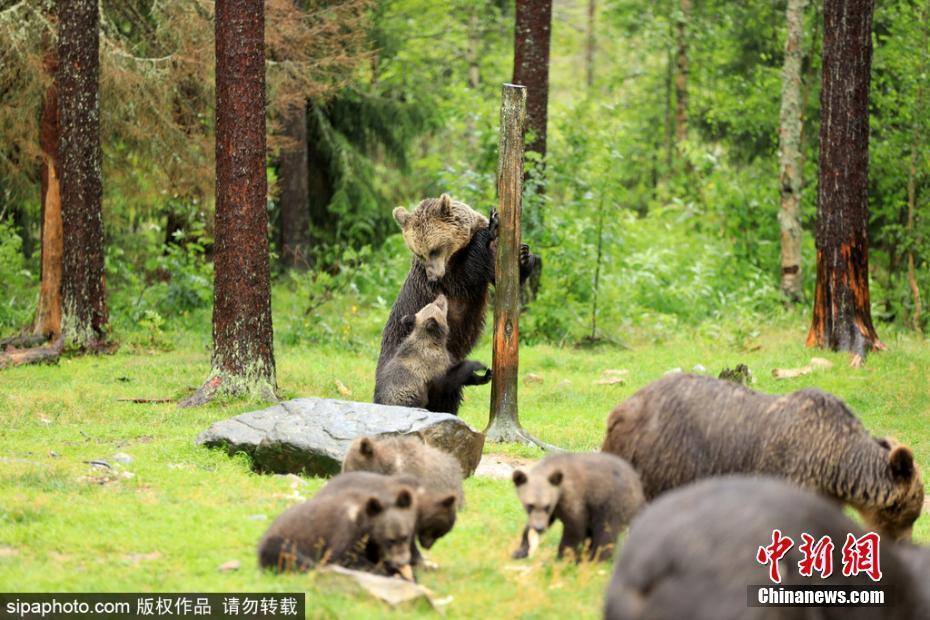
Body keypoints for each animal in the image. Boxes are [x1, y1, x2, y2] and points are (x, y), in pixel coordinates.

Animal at [254, 478, 414, 580]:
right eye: (390, 540)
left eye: (405, 536)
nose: (402, 561)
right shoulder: (346, 531)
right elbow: (343, 557)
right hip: (281, 541)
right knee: (288, 554)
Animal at [374, 194, 536, 416]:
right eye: (420, 252)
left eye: (433, 249)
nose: (433, 276)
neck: (458, 248)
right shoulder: (451, 279)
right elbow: (468, 272)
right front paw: (492, 225)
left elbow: (500, 275)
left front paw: (524, 256)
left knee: (449, 395)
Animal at [508, 450, 644, 560]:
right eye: (530, 505)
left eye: (547, 506)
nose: (539, 528)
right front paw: (520, 551)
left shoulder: (575, 499)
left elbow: (574, 529)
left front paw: (561, 558)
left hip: (612, 504)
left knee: (606, 532)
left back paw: (595, 558)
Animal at [600, 372, 920, 544]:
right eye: (912, 511)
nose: (905, 542)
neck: (835, 463)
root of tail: (619, 410)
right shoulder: (790, 466)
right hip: (664, 458)